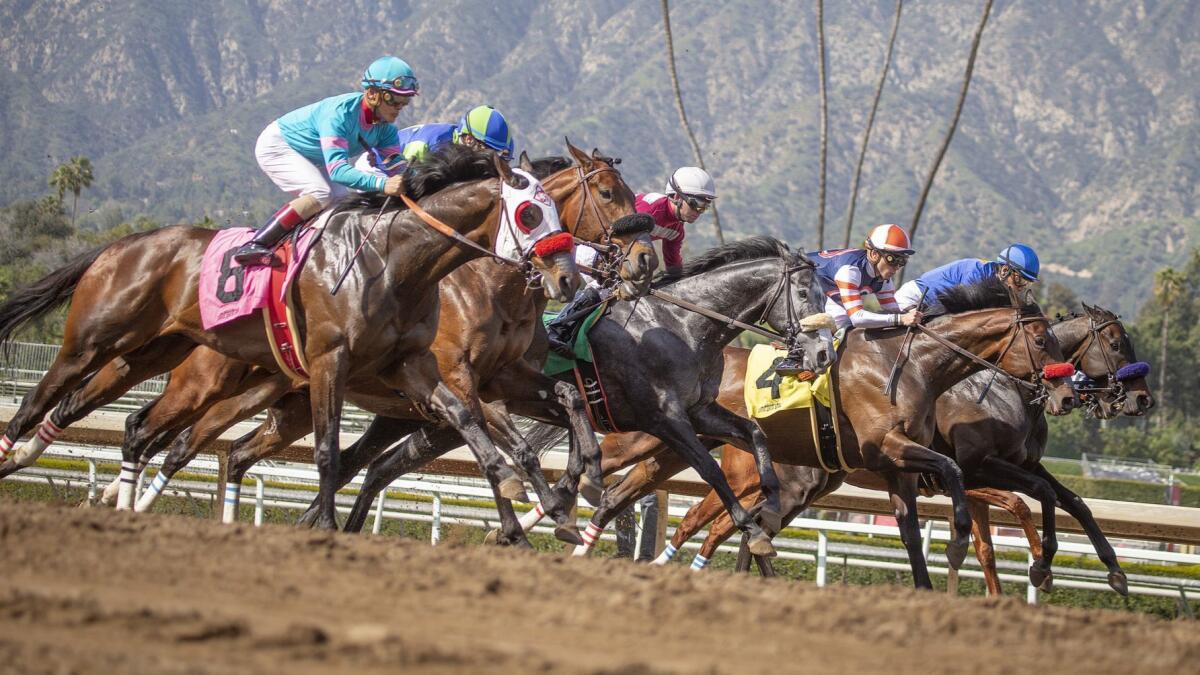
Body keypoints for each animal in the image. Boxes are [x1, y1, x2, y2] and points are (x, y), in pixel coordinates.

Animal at [350, 236, 830, 552]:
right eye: (806, 293)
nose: (822, 352)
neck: (681, 325)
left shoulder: (700, 412)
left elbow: (755, 434)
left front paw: (769, 506)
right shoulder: (665, 419)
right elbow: (711, 470)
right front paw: (752, 529)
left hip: (432, 422)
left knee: (380, 465)